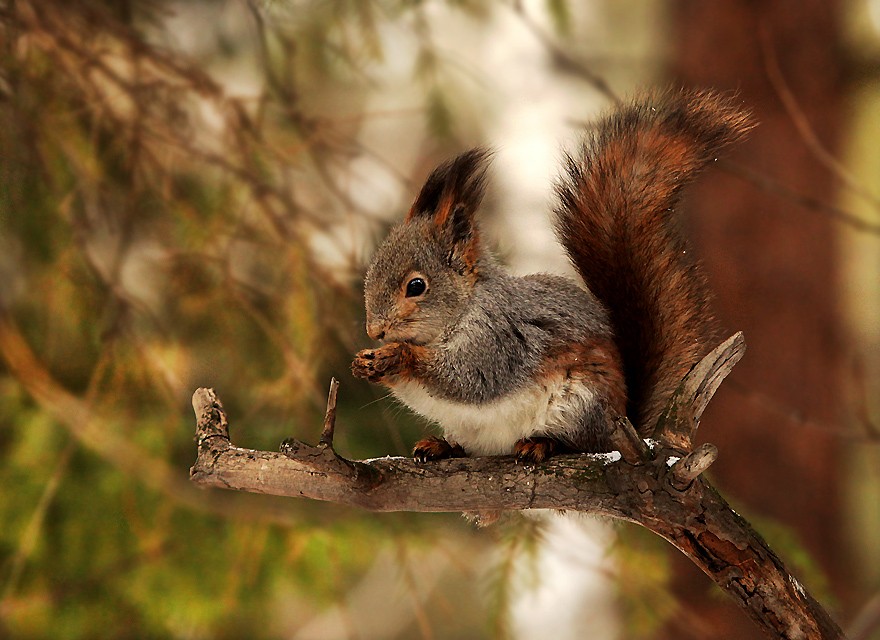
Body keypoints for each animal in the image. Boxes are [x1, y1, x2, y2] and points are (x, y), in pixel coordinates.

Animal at [351, 89, 753, 464]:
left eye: (416, 286)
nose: (375, 330)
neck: (458, 313)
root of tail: (625, 420)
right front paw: (366, 362)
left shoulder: (498, 339)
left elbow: (468, 379)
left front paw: (397, 356)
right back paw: (442, 446)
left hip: (580, 405)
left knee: (576, 443)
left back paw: (540, 444)